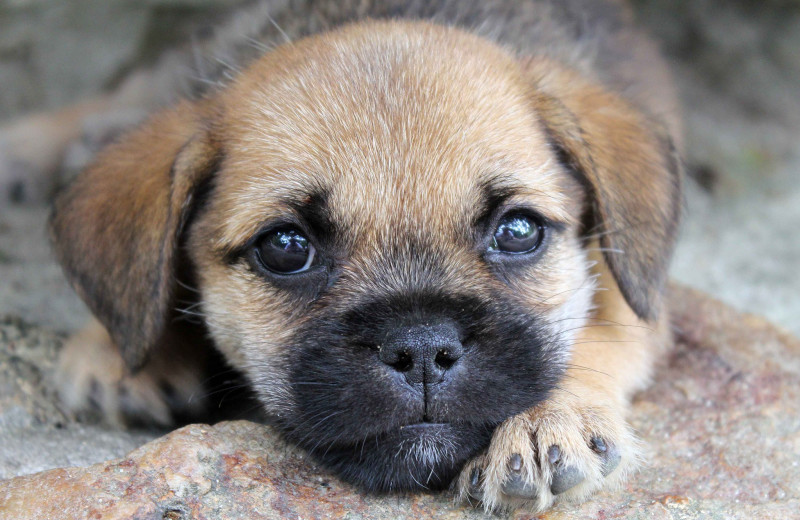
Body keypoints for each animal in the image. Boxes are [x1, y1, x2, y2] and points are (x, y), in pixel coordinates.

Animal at [47, 0, 680, 512]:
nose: (422, 350)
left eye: (518, 230)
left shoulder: (635, 293)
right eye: (285, 247)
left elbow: (600, 330)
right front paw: (119, 348)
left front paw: (550, 420)